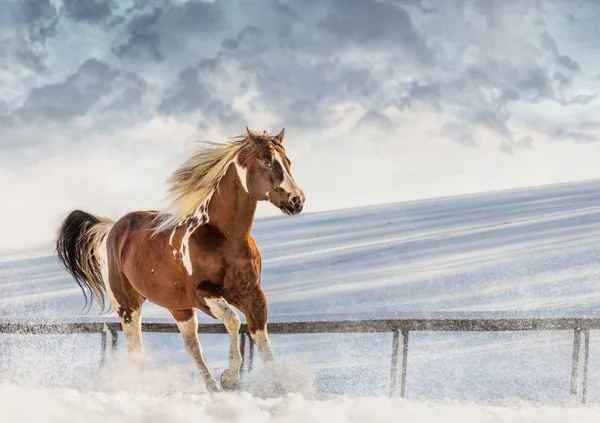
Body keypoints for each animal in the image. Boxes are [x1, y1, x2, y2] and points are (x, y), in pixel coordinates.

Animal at [54, 127, 304, 392]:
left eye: (288, 162)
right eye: (267, 162)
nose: (297, 200)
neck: (226, 238)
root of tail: (112, 229)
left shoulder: (252, 295)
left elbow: (262, 341)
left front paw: (276, 386)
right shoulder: (202, 293)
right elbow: (234, 321)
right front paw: (231, 377)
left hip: (179, 307)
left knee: (191, 347)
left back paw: (212, 388)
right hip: (127, 306)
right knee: (138, 354)